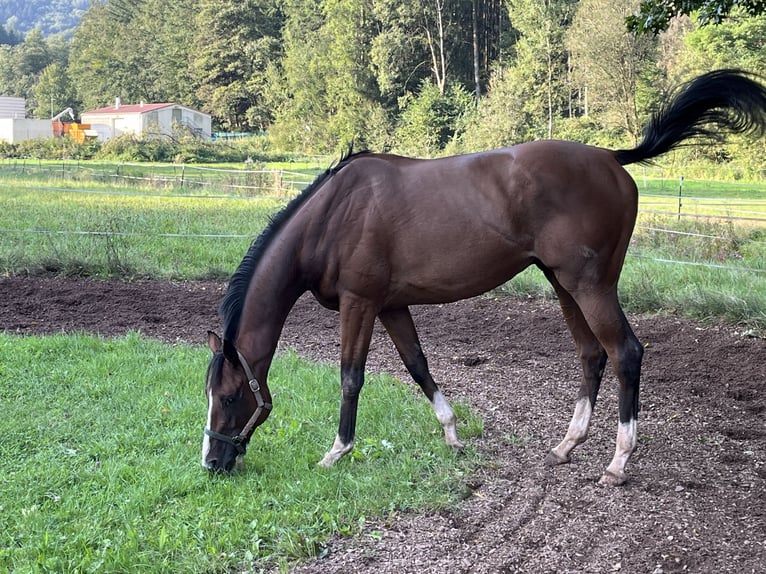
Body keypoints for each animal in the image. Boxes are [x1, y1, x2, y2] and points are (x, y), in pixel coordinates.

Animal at [201, 71, 764, 486]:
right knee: (592, 355)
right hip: (564, 285)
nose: (212, 462)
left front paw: (336, 452)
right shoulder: (390, 304)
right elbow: (417, 365)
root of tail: (611, 158)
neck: (333, 216)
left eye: (229, 396)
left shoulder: (359, 303)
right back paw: (566, 446)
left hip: (590, 286)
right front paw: (452, 434)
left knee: (625, 352)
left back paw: (618, 462)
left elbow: (351, 377)